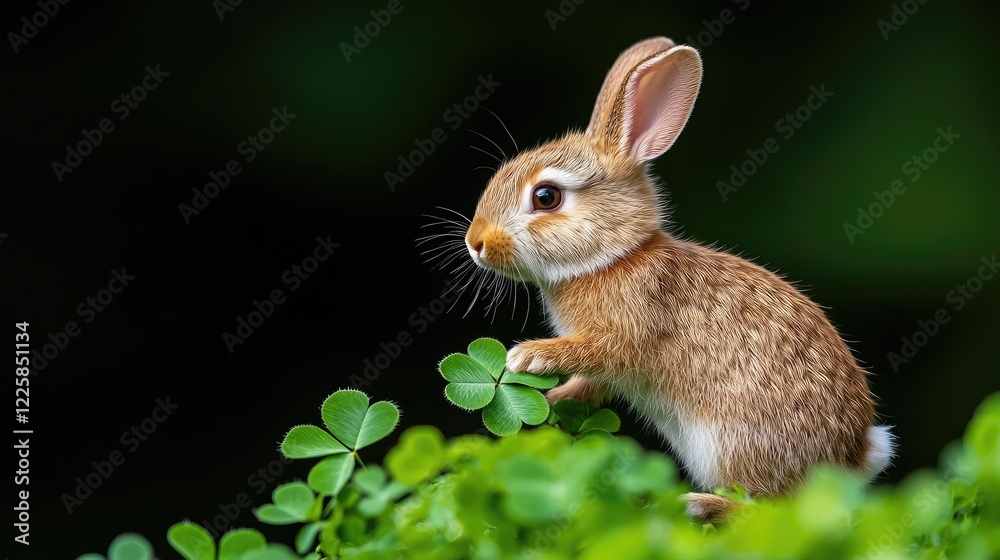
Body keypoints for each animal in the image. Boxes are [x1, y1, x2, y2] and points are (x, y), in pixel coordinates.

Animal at [462, 36, 896, 522]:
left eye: (546, 197)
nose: (475, 242)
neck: (614, 258)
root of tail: (857, 455)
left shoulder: (626, 332)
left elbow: (595, 351)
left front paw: (527, 358)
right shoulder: (608, 373)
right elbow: (589, 386)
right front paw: (551, 402)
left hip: (733, 444)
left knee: (767, 507)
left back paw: (699, 505)